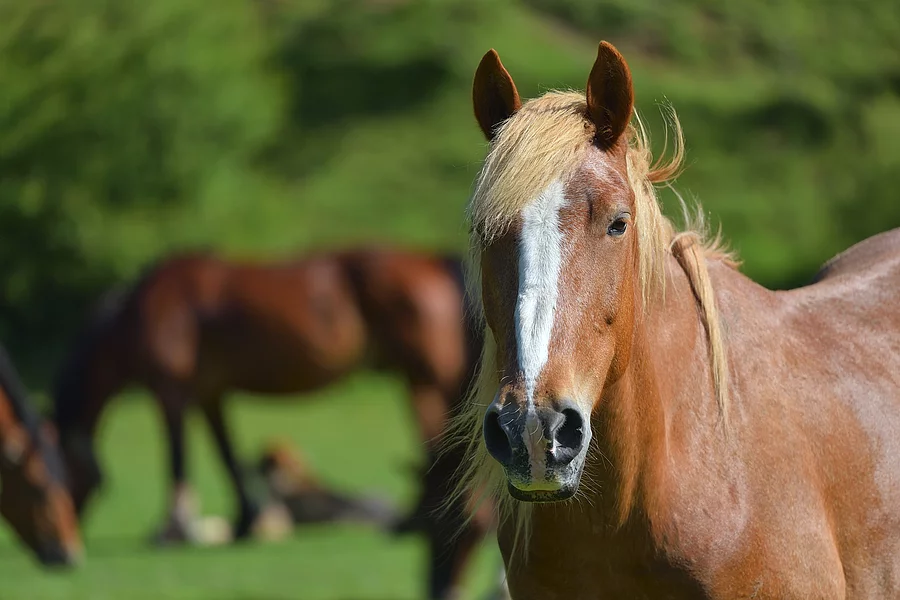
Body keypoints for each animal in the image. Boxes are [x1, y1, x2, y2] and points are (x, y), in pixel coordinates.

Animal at [51, 246, 487, 599]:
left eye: (58, 476)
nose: (66, 546)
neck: (141, 312)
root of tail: (435, 260)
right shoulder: (211, 393)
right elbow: (227, 455)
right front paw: (243, 522)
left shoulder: (171, 390)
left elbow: (177, 458)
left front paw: (172, 529)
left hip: (425, 381)